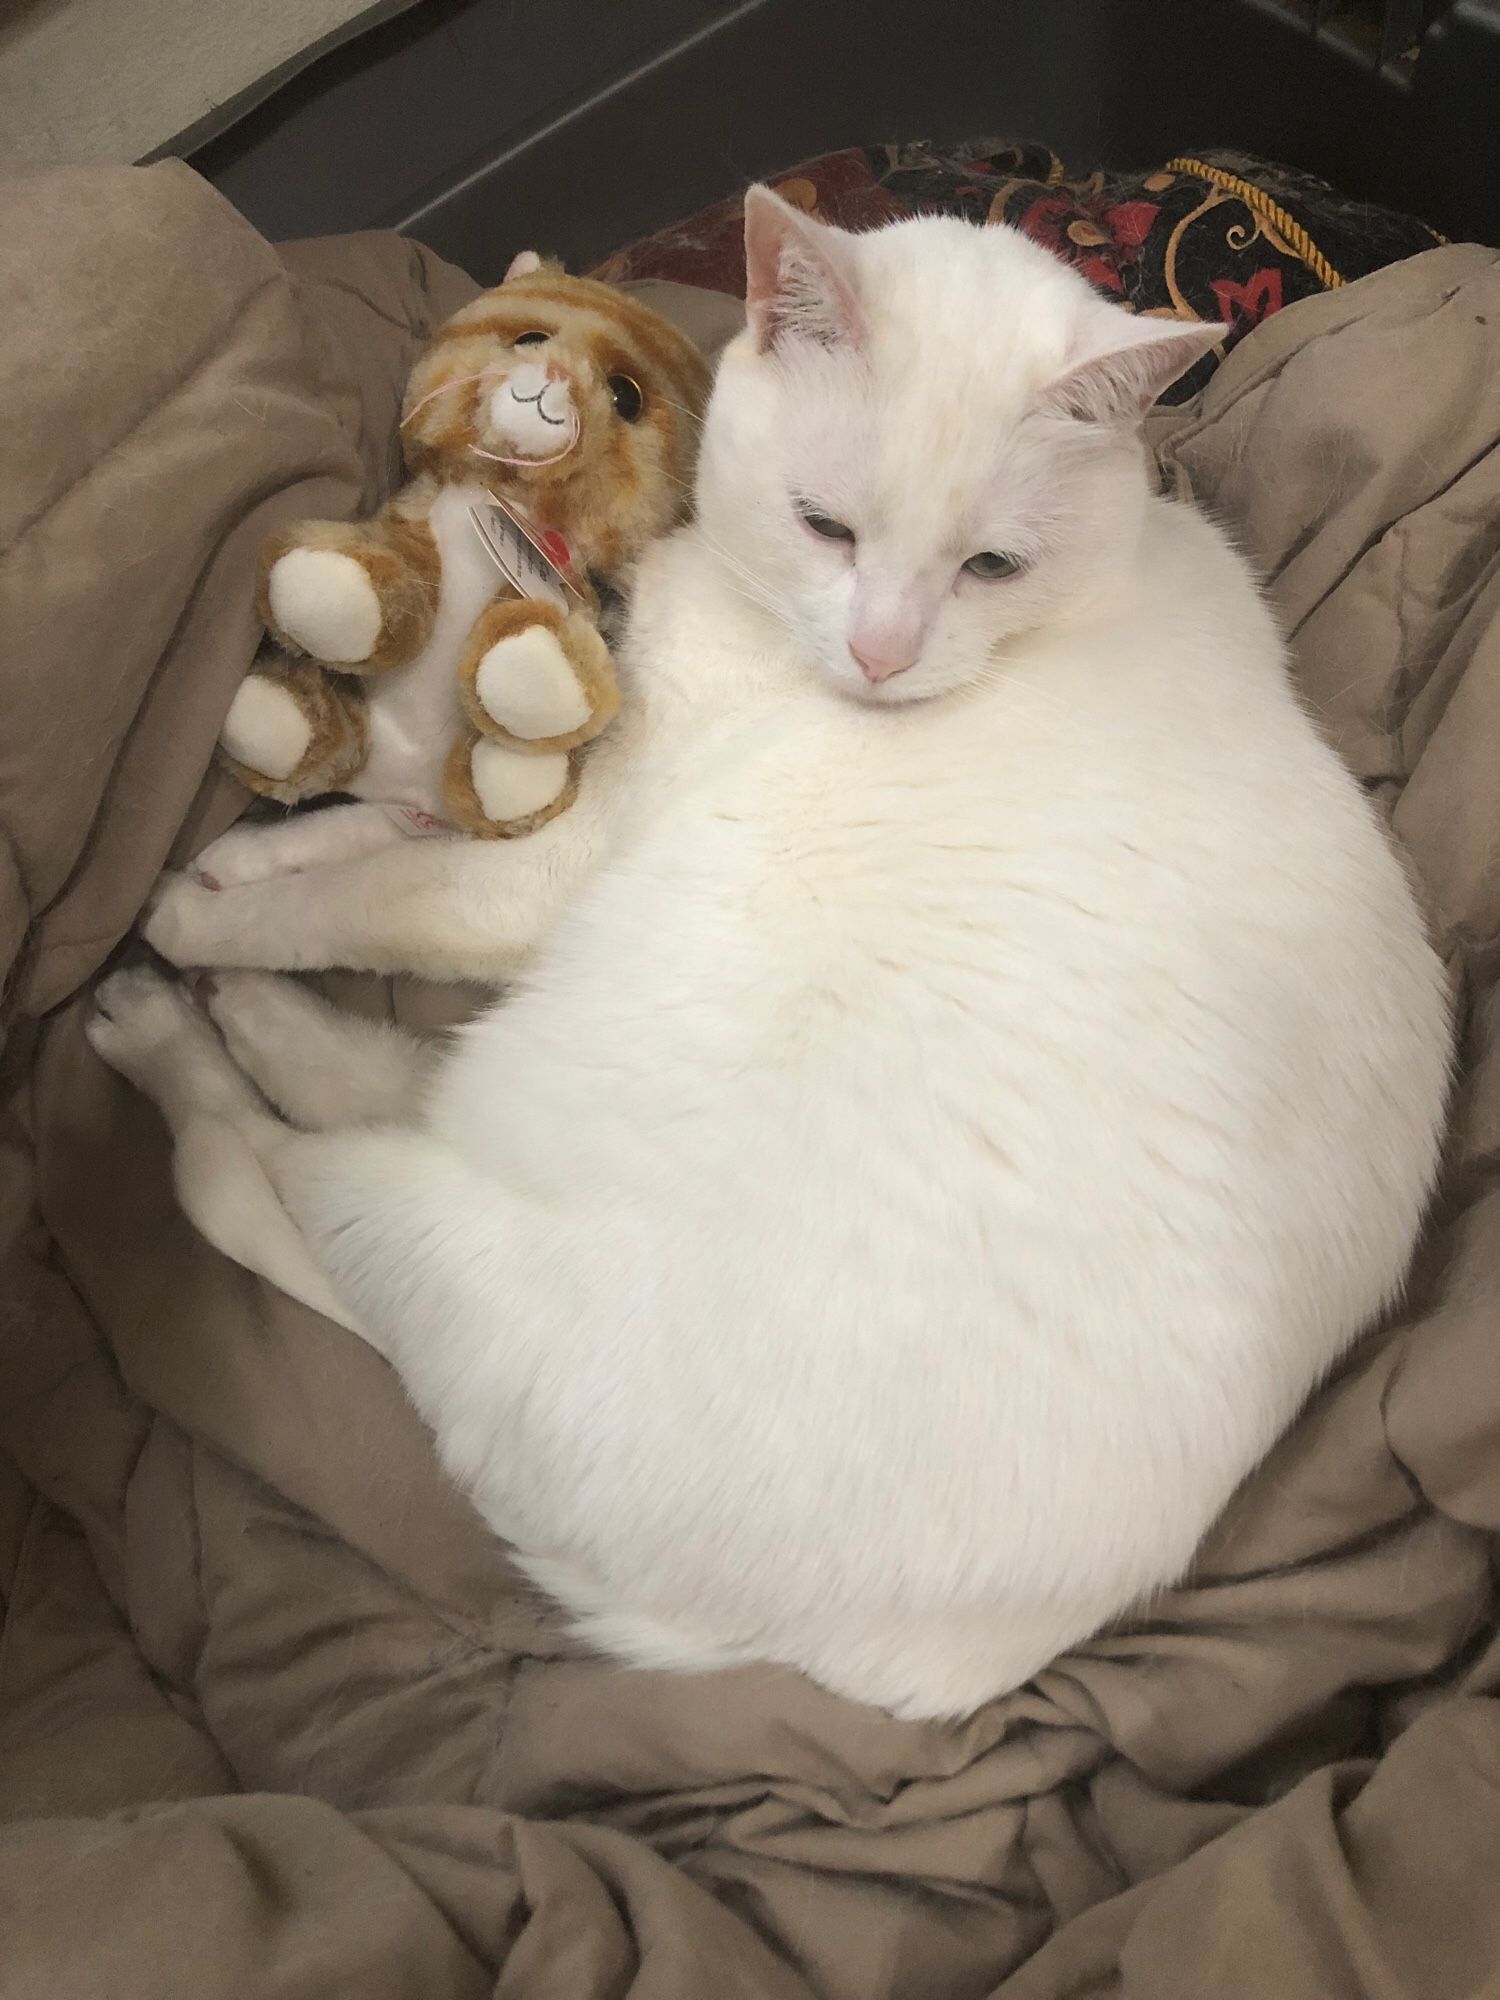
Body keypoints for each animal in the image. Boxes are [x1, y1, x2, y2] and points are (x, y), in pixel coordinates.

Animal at [88, 191, 1448, 1720]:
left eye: (990, 566)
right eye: (827, 527)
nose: (881, 652)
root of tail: (807, 1652)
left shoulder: (563, 865)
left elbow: (390, 886)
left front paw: (205, 913)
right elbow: (393, 822)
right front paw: (246, 855)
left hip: (438, 1191)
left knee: (256, 1172)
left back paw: (184, 1016)